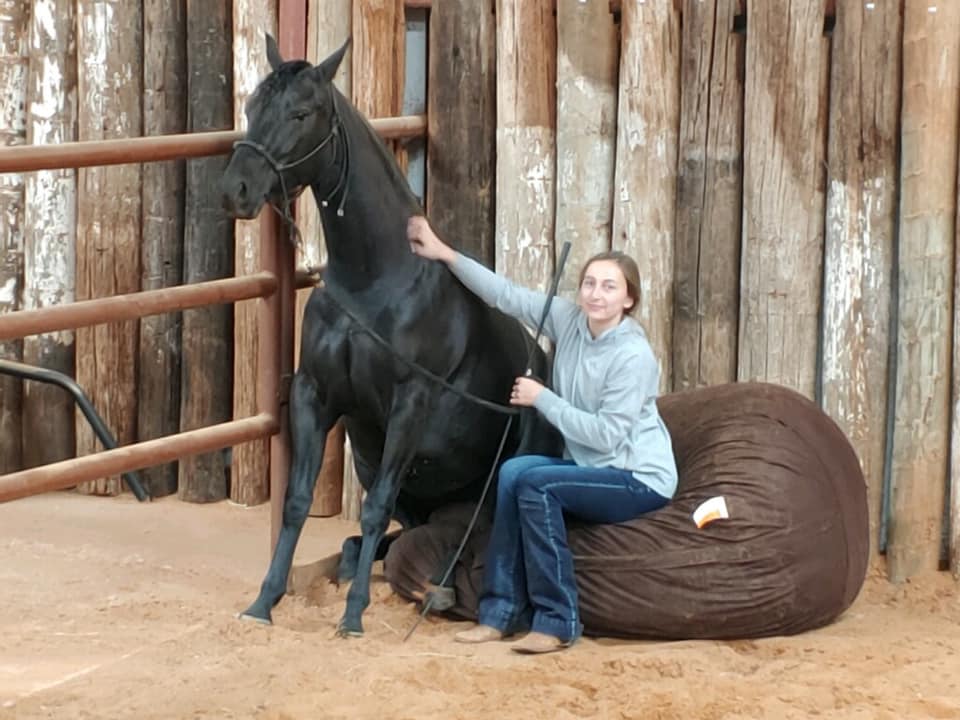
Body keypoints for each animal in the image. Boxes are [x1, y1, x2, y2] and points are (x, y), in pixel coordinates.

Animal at [219, 34, 562, 636]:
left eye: (302, 112)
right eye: (252, 106)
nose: (236, 189)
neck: (373, 283)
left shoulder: (410, 402)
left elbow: (374, 506)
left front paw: (353, 615)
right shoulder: (314, 393)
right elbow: (297, 499)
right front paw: (264, 601)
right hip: (370, 455)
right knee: (399, 536)